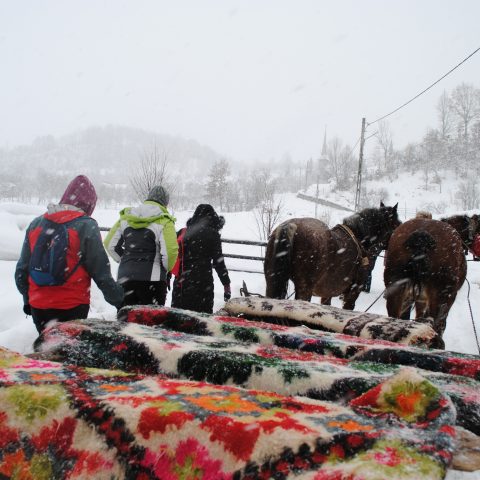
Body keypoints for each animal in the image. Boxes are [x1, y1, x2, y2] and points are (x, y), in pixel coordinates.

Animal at [264, 202, 400, 308]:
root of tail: (291, 226)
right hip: (304, 289)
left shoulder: (327, 293)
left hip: (271, 281)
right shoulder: (353, 292)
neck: (360, 240)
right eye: (397, 225)